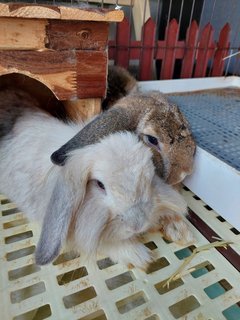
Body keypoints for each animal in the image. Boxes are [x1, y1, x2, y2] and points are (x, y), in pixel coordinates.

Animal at [0, 89, 192, 268]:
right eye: (99, 185)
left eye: (149, 179)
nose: (186, 171)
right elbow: (96, 241)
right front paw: (138, 255)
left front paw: (180, 229)